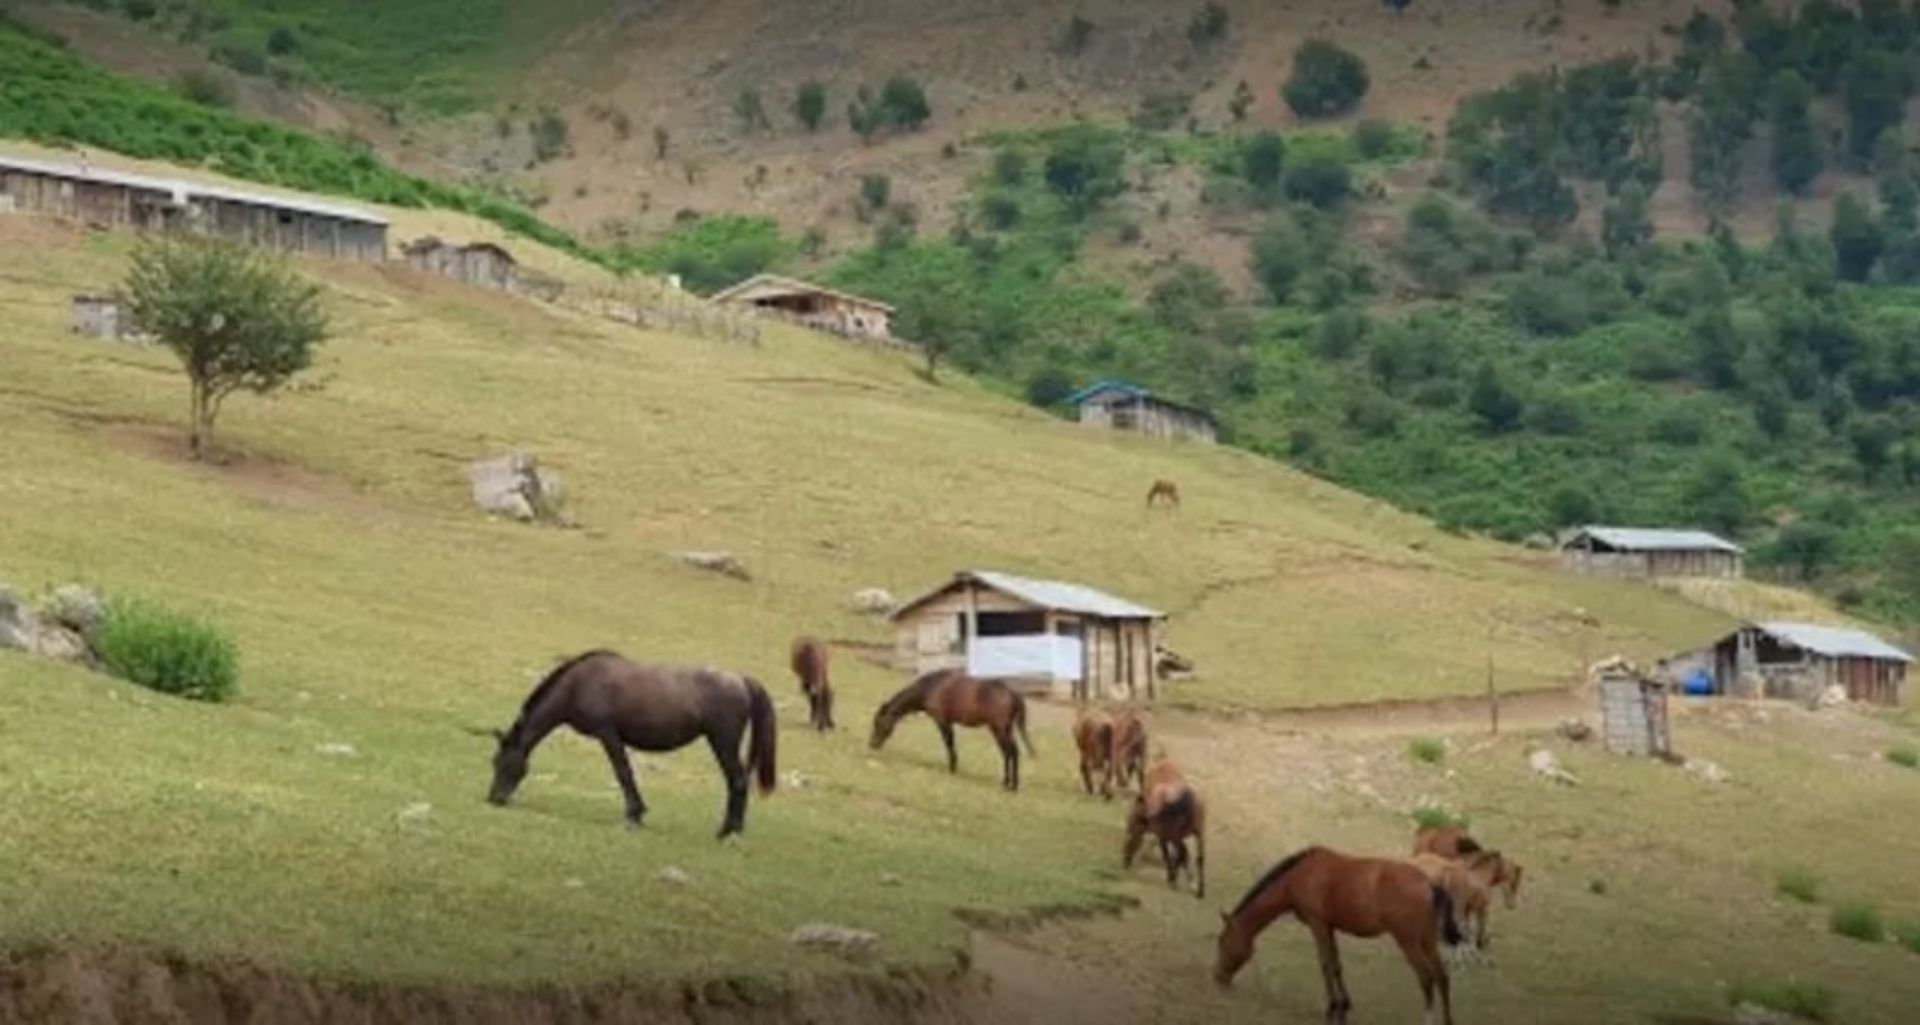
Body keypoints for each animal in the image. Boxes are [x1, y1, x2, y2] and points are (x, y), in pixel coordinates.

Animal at [485, 650, 777, 839]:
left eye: (502, 762)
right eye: (493, 762)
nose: (494, 799)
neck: (578, 685)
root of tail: (741, 680)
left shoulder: (608, 733)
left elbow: (623, 772)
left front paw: (634, 815)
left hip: (723, 741)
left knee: (737, 780)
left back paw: (727, 830)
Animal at [870, 669, 1035, 791]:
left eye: (878, 723)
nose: (872, 744)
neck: (930, 687)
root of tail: (1013, 694)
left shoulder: (943, 721)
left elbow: (949, 744)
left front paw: (952, 769)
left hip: (998, 729)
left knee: (1009, 752)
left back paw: (1009, 784)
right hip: (1004, 729)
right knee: (1011, 752)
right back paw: (1010, 784)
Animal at [1123, 757, 1207, 898]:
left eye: (1130, 837)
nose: (1124, 862)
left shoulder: (1165, 837)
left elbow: (1169, 854)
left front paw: (1172, 877)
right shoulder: (1169, 837)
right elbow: (1177, 855)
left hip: (1182, 837)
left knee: (1184, 854)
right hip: (1199, 834)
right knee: (1199, 858)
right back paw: (1200, 890)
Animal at [1215, 846, 1463, 1025]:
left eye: (1222, 942)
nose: (1218, 977)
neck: (1299, 876)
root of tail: (1429, 883)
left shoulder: (1318, 924)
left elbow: (1325, 964)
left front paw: (1332, 1009)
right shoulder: (1329, 926)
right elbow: (1336, 965)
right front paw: (1343, 1008)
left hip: (1408, 941)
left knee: (1426, 977)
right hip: (1427, 940)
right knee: (1442, 976)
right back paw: (1448, 1020)